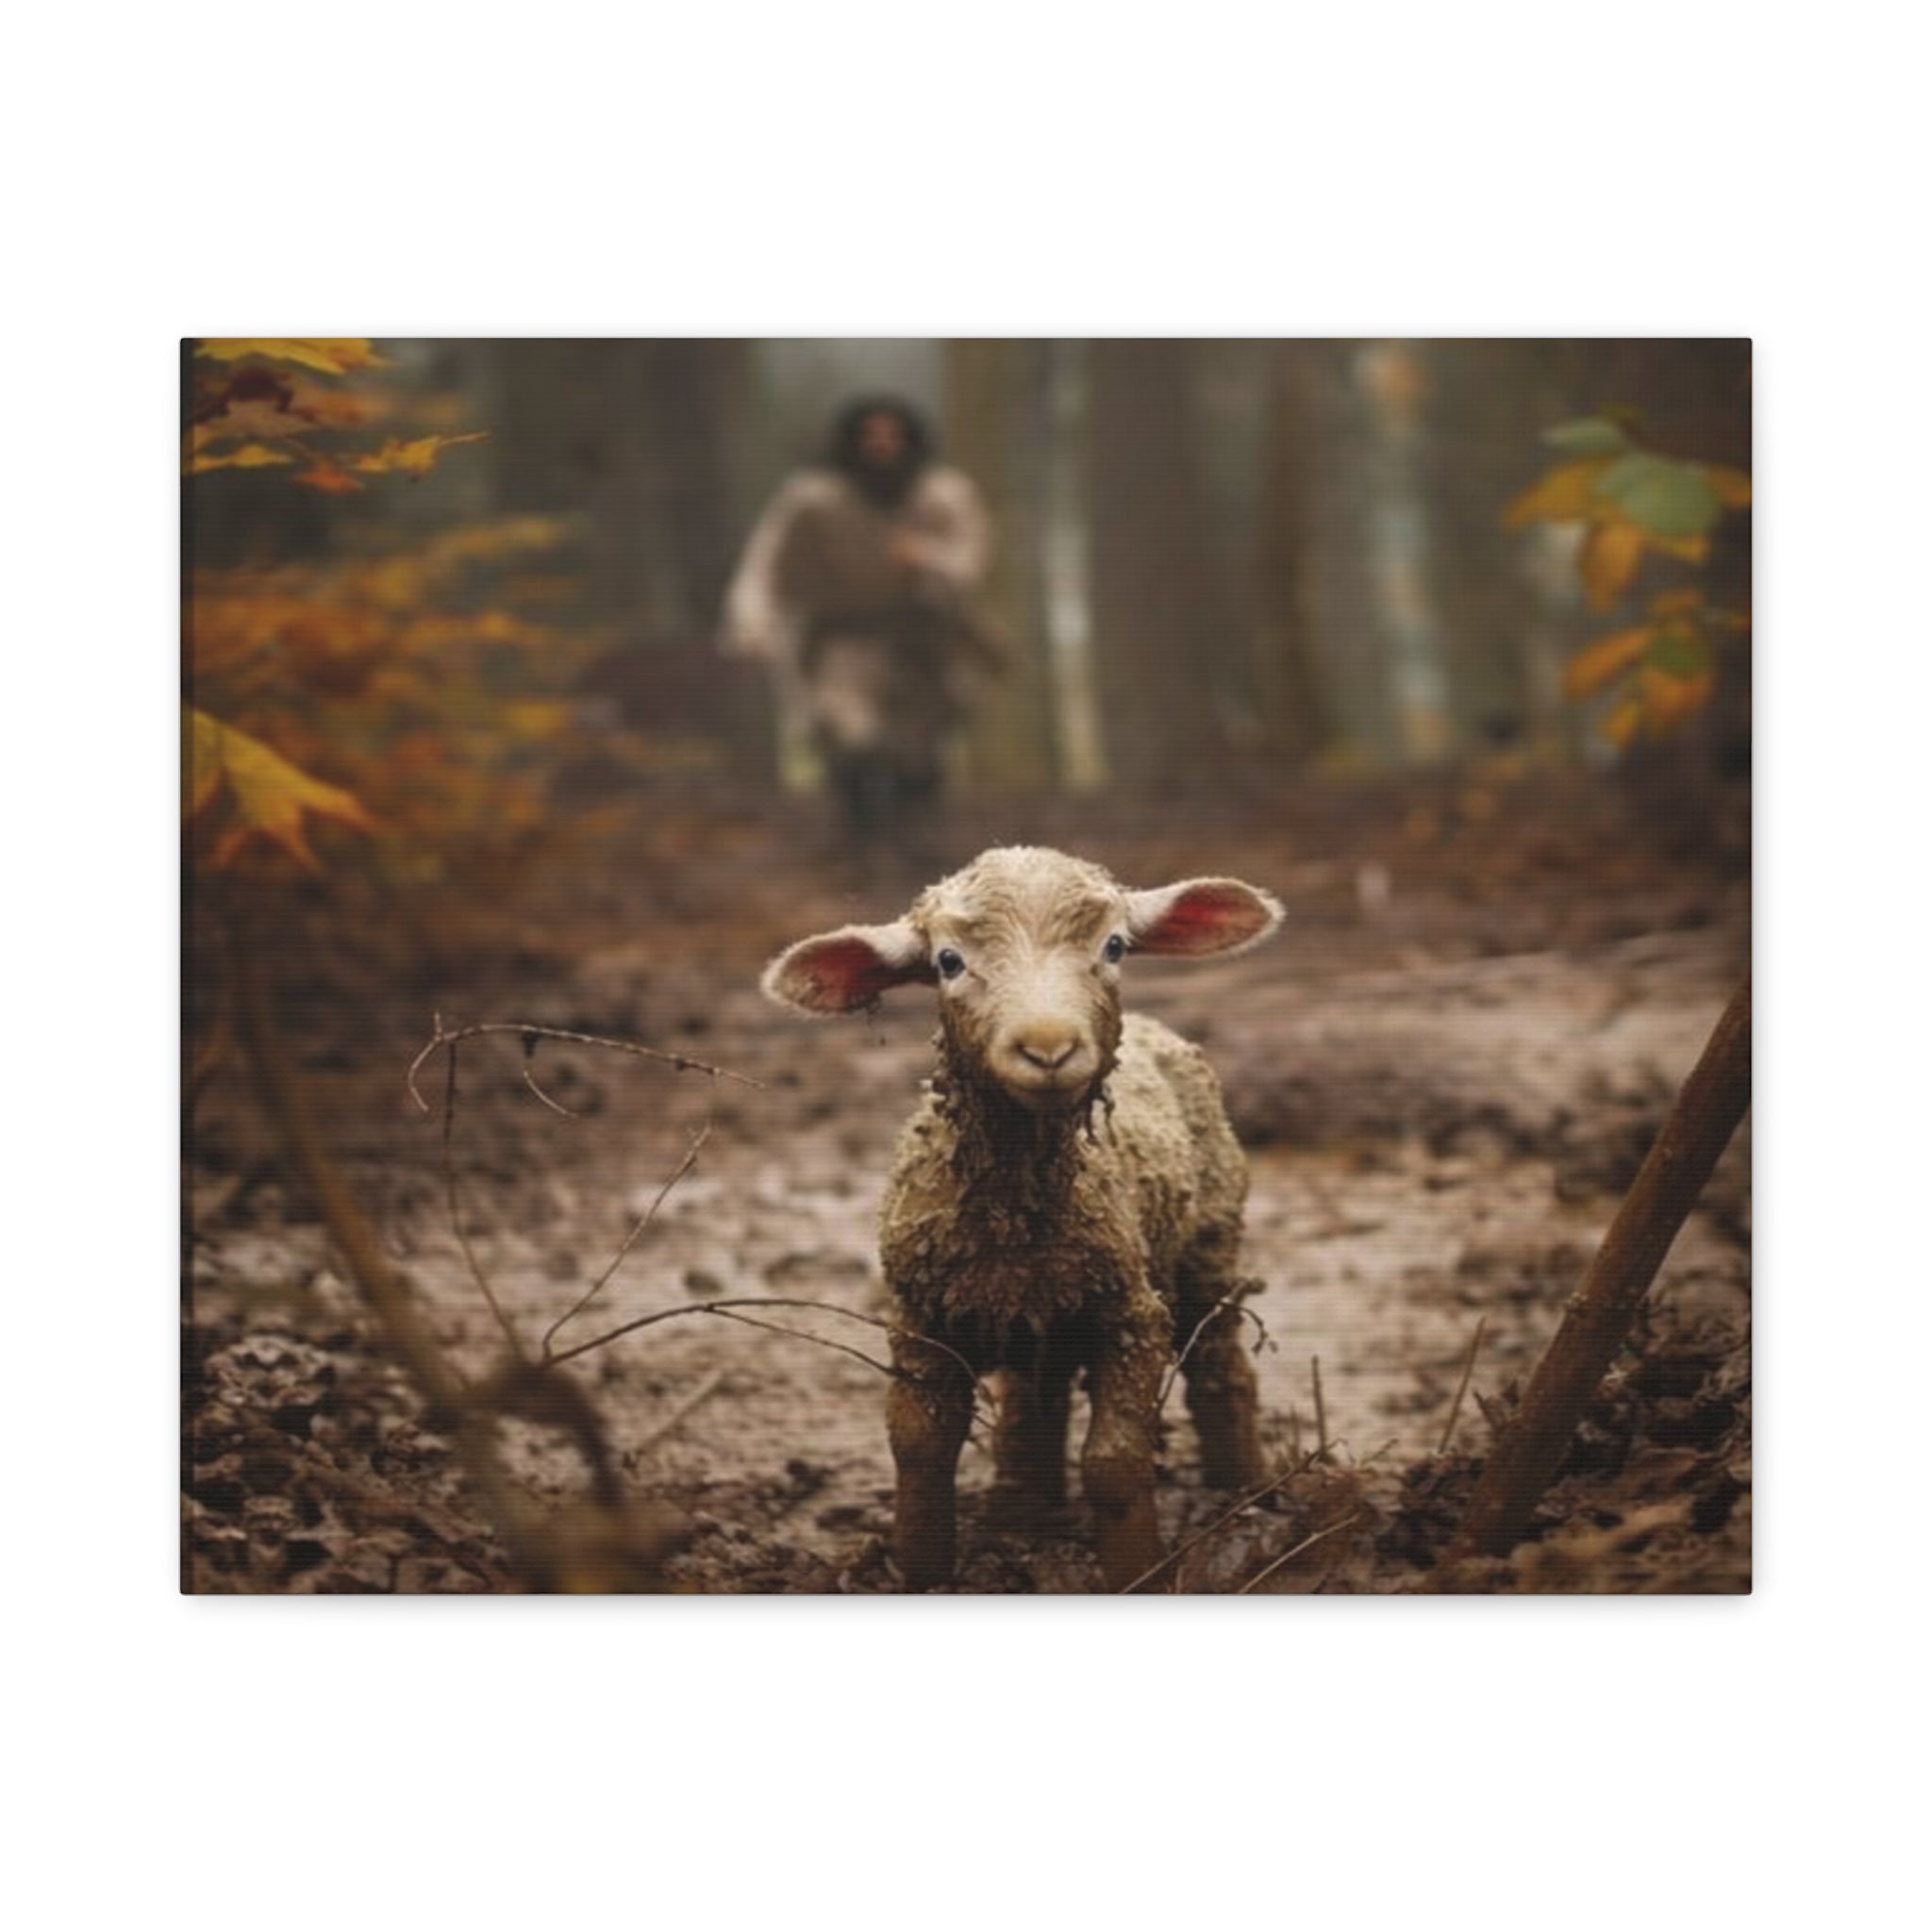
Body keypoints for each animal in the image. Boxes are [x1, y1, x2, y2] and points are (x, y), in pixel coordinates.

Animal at [761, 845, 1283, 1591]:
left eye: (1114, 946)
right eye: (949, 961)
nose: (1047, 1047)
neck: (1017, 1213)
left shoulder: (1132, 1315)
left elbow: (1114, 1462)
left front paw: (1136, 1572)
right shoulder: (918, 1318)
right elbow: (919, 1448)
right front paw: (923, 1572)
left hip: (1209, 1241)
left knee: (1220, 1365)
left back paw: (1246, 1493)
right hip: (1046, 1315)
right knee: (1038, 1396)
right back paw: (1025, 1510)